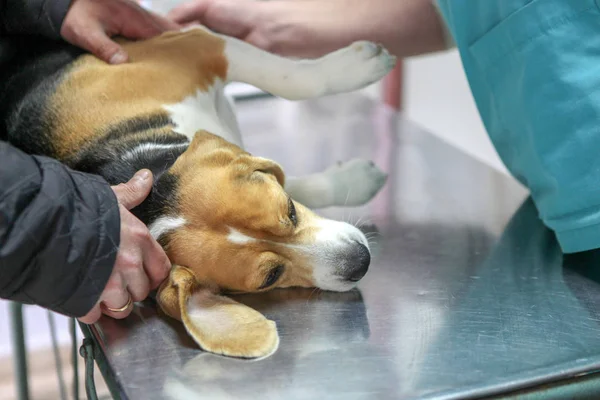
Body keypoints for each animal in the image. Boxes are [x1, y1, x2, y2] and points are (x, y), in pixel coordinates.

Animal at [2, 28, 396, 360]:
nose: (361, 261)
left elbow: (290, 80)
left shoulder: (195, 45)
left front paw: (356, 67)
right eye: (271, 277)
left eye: (290, 212)